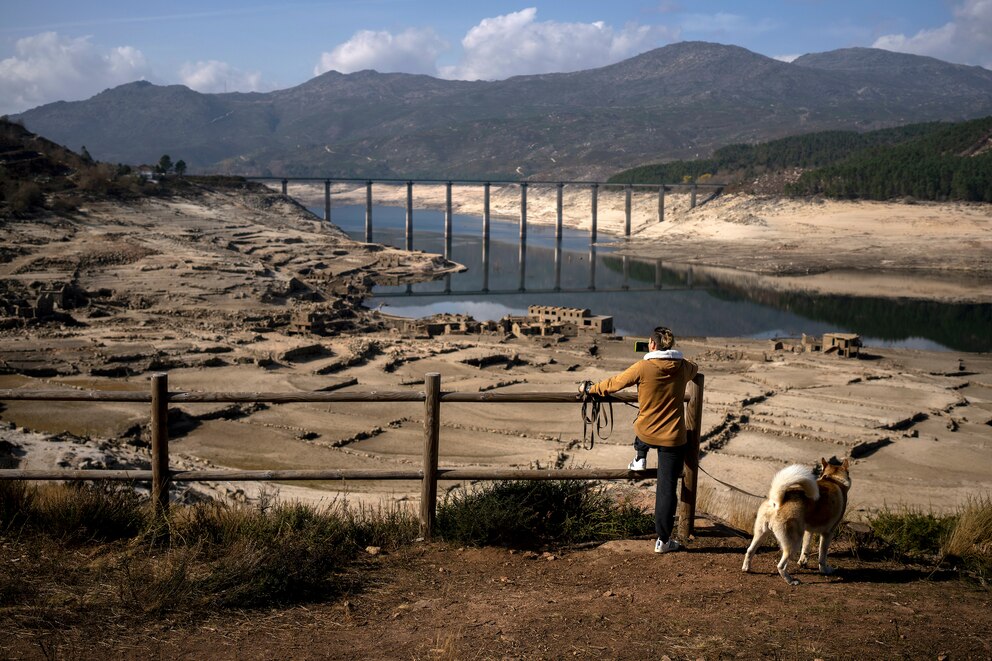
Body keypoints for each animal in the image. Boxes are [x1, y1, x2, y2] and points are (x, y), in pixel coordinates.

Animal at [740, 456, 848, 584]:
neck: (833, 479)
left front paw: (803, 562)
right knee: (781, 566)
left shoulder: (808, 531)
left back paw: (746, 568)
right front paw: (825, 570)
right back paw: (790, 581)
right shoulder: (828, 533)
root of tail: (777, 502)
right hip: (794, 542)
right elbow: (822, 556)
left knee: (749, 551)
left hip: (761, 534)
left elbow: (805, 549)